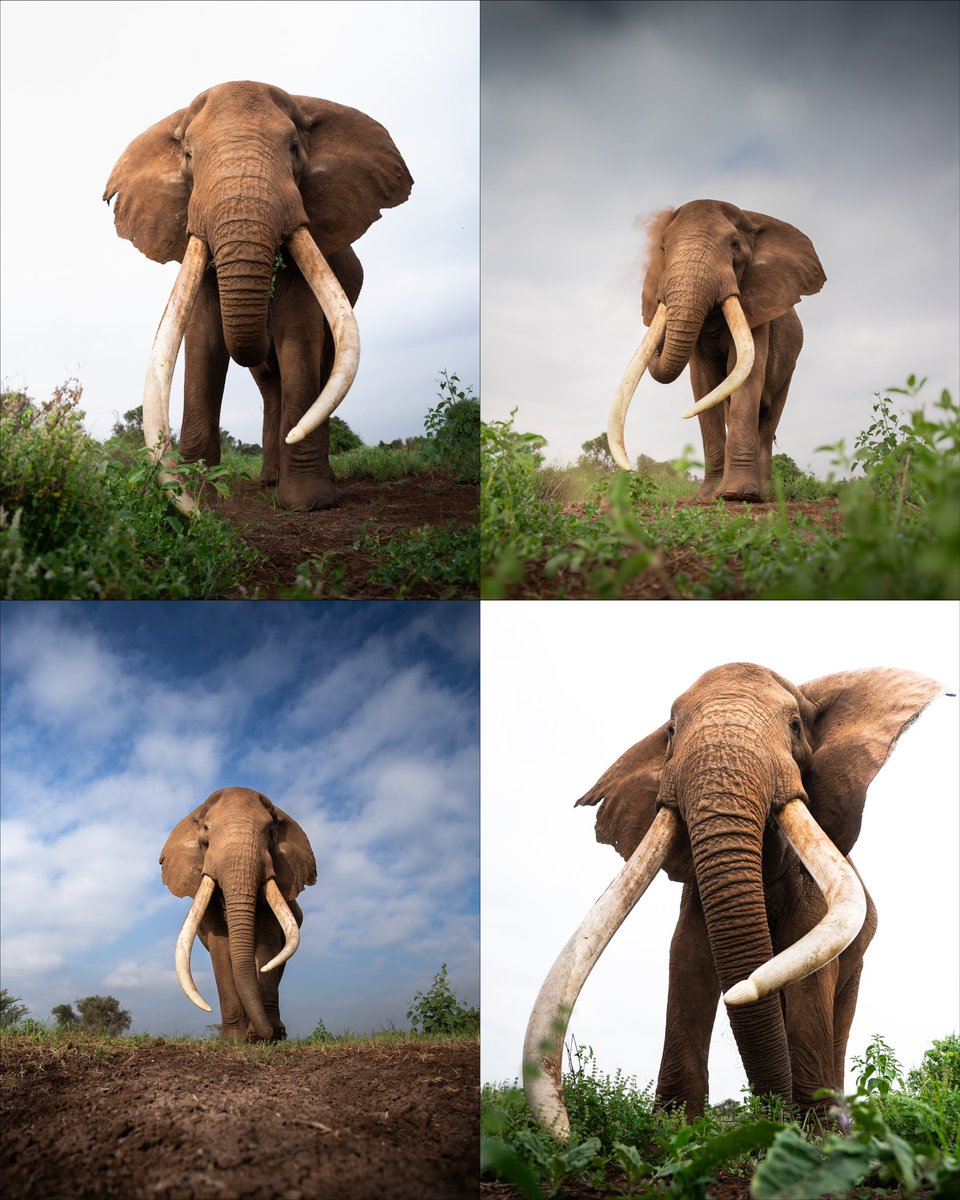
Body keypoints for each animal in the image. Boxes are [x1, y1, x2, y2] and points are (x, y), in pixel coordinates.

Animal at [104, 80, 413, 513]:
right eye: (188, 156)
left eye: (294, 148)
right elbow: (204, 340)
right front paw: (201, 497)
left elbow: (297, 335)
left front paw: (309, 503)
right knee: (269, 383)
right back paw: (268, 479)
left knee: (320, 370)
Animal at [160, 787, 316, 1040]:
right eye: (206, 830)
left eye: (271, 832)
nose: (263, 1034)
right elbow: (221, 949)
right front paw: (234, 1039)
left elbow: (267, 946)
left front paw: (265, 1037)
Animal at [523, 663, 946, 1135]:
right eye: (671, 732)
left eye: (795, 725)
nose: (776, 1118)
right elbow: (687, 959)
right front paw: (671, 1132)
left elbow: (810, 971)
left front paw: (815, 1139)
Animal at [608, 200, 826, 502]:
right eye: (663, 246)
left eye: (734, 244)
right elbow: (703, 384)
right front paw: (708, 496)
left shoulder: (758, 309)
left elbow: (746, 373)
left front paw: (737, 495)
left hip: (789, 368)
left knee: (769, 418)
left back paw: (765, 492)